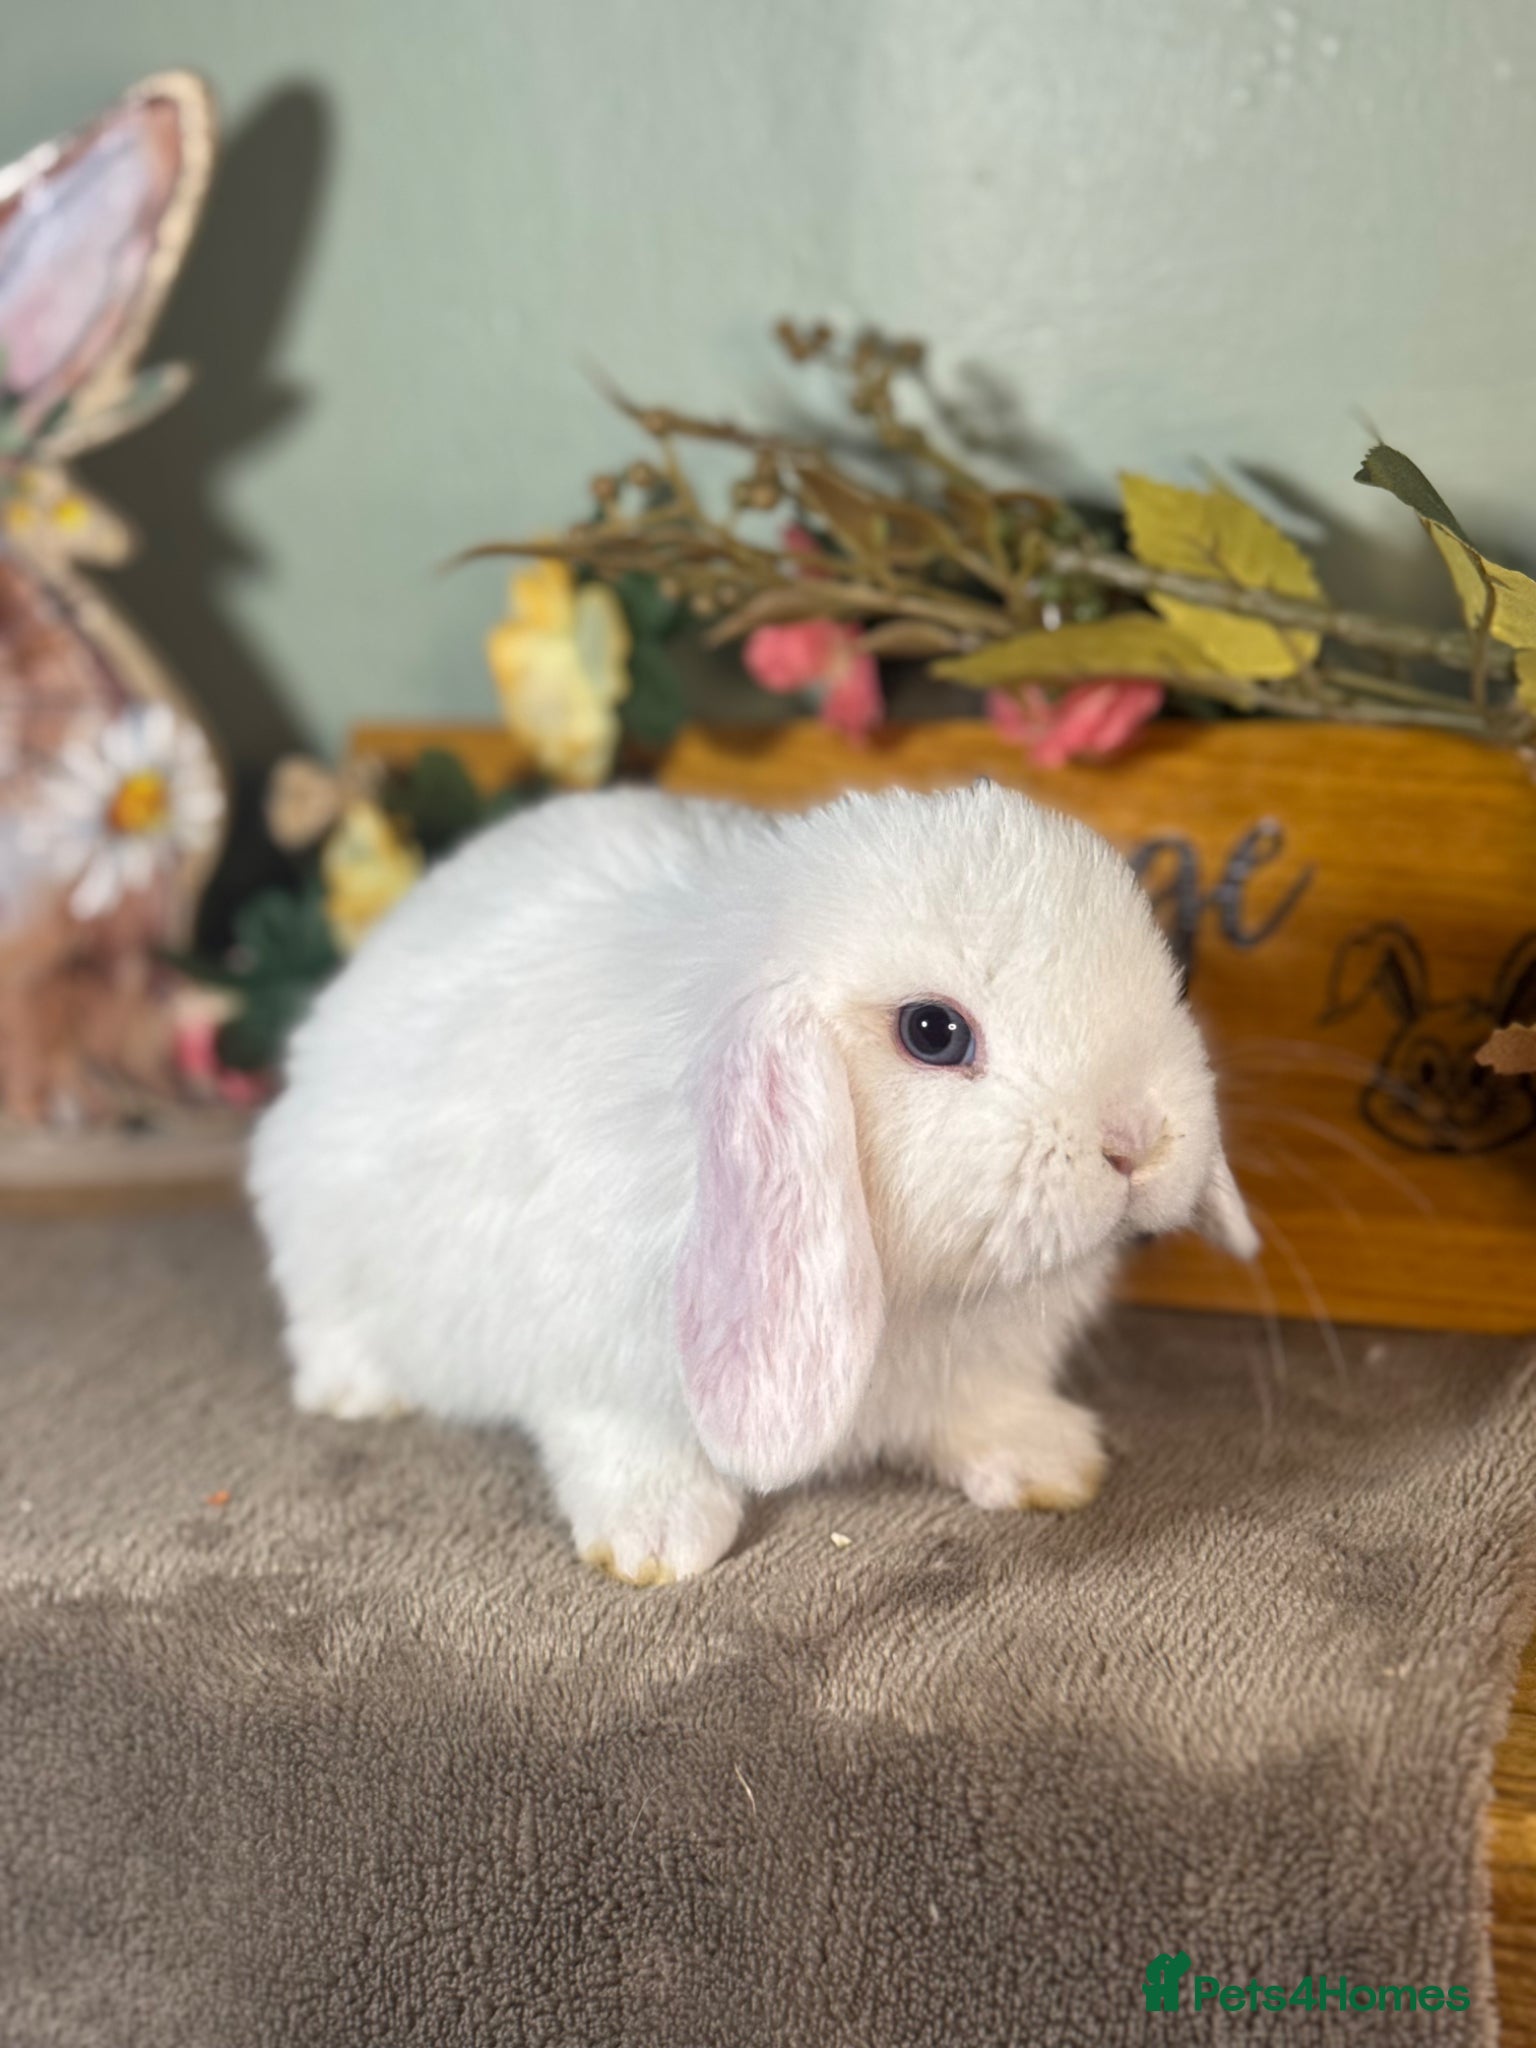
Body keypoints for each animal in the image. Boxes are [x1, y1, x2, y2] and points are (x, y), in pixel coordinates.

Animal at [249, 781, 1257, 1583]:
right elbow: (622, 1443)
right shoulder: (595, 1368)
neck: (920, 1296)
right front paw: (660, 1541)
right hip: (322, 1236)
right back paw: (356, 1392)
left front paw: (1051, 1462)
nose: (1137, 1140)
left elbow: (982, 1407)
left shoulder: (976, 1365)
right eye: (933, 1032)